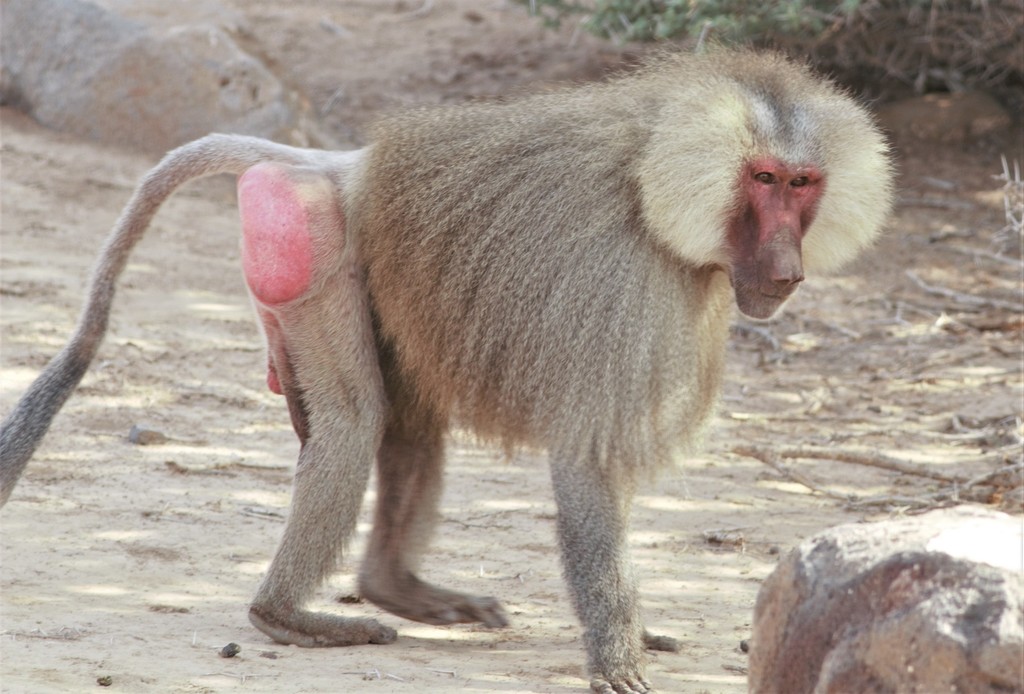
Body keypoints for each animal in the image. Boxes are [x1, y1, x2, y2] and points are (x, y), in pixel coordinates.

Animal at [0, 49, 893, 693]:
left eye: (804, 184)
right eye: (763, 180)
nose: (786, 268)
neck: (659, 175)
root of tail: (341, 165)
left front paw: (632, 631)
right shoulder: (623, 285)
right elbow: (589, 465)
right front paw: (615, 653)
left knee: (406, 425)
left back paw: (399, 588)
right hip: (313, 245)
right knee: (355, 420)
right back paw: (286, 616)